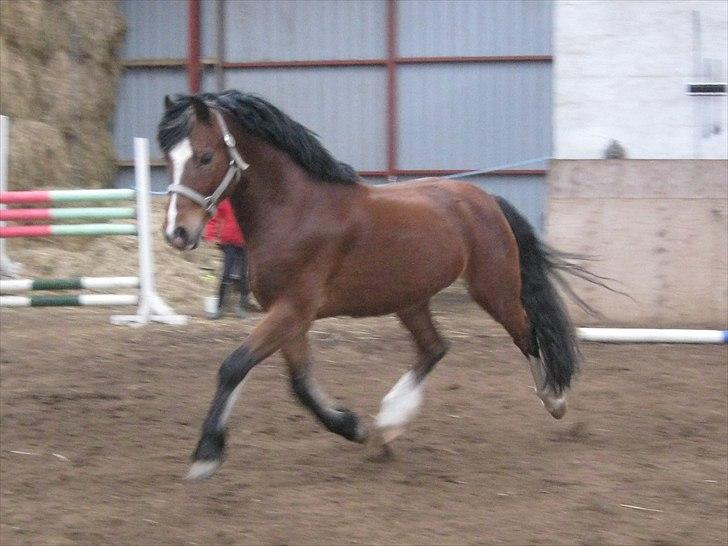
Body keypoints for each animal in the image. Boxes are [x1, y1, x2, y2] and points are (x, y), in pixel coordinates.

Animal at [159, 91, 592, 478]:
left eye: (205, 156)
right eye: (168, 158)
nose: (177, 233)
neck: (295, 210)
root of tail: (485, 199)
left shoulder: (293, 309)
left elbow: (234, 366)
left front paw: (206, 456)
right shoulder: (290, 316)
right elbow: (299, 383)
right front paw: (354, 427)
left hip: (493, 289)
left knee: (527, 333)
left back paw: (555, 400)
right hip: (410, 298)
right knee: (434, 347)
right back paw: (387, 427)